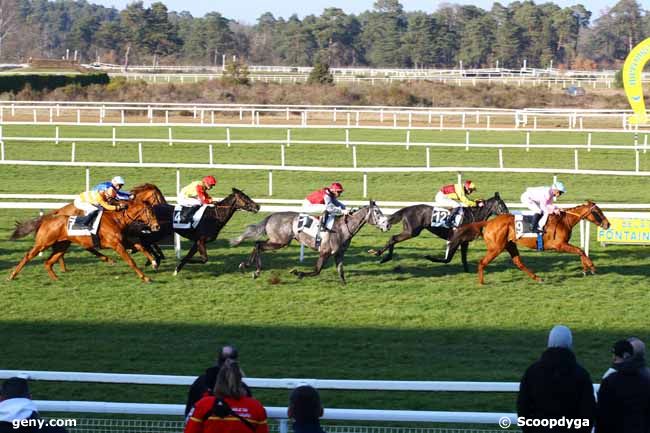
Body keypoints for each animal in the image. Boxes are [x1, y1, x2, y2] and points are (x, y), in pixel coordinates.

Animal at [7, 198, 161, 282]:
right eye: (150, 212)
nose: (156, 226)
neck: (116, 219)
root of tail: (46, 219)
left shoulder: (122, 241)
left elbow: (141, 246)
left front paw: (154, 262)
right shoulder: (116, 244)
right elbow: (131, 261)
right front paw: (145, 278)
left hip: (61, 245)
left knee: (48, 262)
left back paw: (57, 278)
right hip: (43, 243)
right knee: (28, 256)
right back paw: (12, 275)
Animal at [229, 200, 388, 284]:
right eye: (377, 212)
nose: (387, 225)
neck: (343, 228)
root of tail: (271, 216)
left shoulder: (339, 253)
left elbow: (340, 270)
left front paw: (344, 284)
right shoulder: (325, 252)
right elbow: (317, 270)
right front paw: (297, 272)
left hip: (276, 240)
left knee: (258, 245)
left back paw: (247, 266)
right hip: (281, 241)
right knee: (258, 245)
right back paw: (254, 270)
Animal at [368, 193, 508, 270]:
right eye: (502, 205)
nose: (508, 215)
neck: (473, 215)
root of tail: (407, 209)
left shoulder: (464, 241)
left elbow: (463, 258)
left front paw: (468, 271)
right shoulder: (455, 239)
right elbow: (447, 259)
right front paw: (429, 257)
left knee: (394, 239)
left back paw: (385, 257)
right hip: (412, 231)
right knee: (393, 238)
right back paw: (380, 254)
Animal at [446, 202, 608, 284]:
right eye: (597, 212)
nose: (608, 224)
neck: (564, 220)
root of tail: (489, 222)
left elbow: (581, 250)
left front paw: (586, 268)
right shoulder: (559, 245)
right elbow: (580, 250)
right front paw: (590, 268)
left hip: (510, 245)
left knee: (518, 262)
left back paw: (538, 278)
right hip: (496, 248)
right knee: (482, 262)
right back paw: (481, 282)